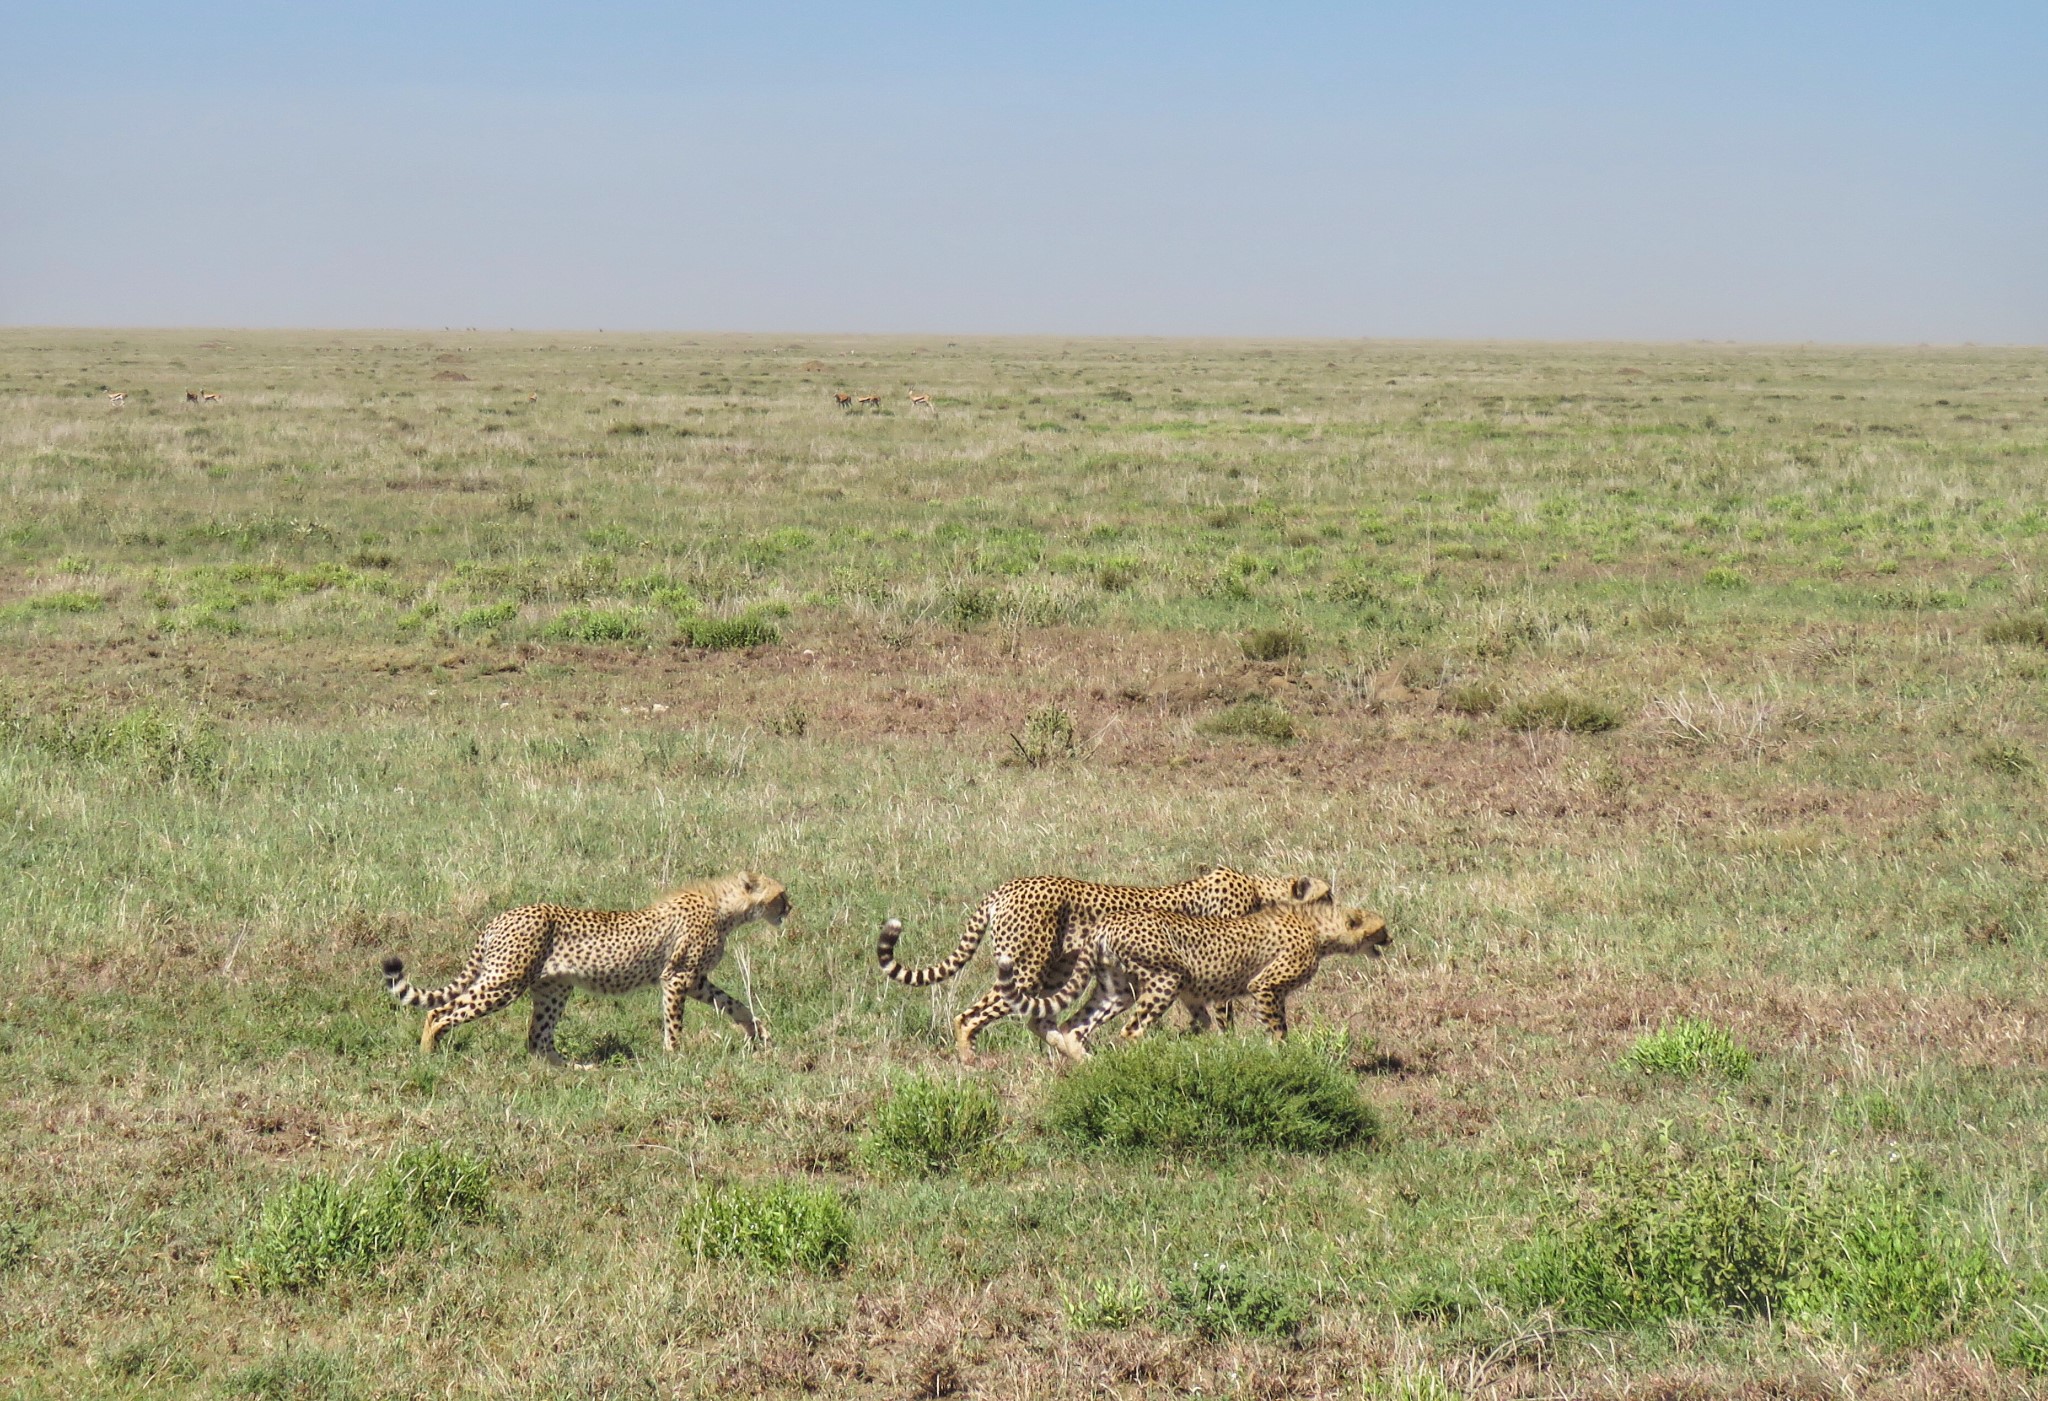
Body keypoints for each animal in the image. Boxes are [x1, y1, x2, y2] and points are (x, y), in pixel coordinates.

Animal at [385, 868, 790, 1065]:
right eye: (780, 894)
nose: (790, 907)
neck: (726, 910)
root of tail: (502, 916)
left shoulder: (697, 980)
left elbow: (736, 1004)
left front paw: (758, 1034)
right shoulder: (677, 978)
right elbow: (674, 1023)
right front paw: (675, 1057)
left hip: (552, 988)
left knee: (538, 1040)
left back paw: (578, 1069)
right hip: (505, 981)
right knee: (440, 1012)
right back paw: (428, 1056)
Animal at [876, 864, 1327, 1065]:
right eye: (1326, 895)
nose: (1335, 909)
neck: (1262, 892)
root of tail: (1008, 886)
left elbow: (1200, 1020)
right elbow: (1224, 1018)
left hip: (1058, 970)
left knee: (1042, 1019)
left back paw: (1082, 1056)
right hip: (1025, 967)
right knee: (970, 1015)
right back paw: (970, 1061)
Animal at [995, 897, 1392, 1065]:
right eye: (1381, 927)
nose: (1390, 939)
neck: (1320, 929)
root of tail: (1107, 921)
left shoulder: (1197, 996)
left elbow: (1201, 1024)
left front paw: (1195, 1044)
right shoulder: (1265, 987)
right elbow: (1278, 1030)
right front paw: (1281, 1056)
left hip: (1118, 989)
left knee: (1074, 1025)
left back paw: (1091, 1065)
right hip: (1164, 980)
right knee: (1131, 1031)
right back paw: (1146, 1061)